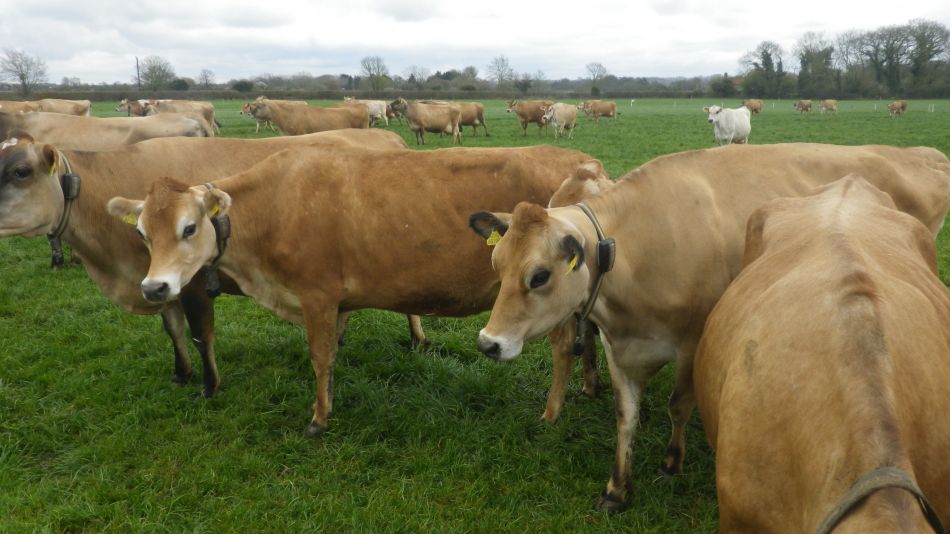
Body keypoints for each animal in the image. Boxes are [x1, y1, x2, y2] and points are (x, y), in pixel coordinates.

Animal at [0, 129, 408, 399]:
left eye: (20, 171)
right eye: (141, 233)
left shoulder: (192, 282)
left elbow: (199, 333)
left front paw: (211, 386)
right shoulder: (156, 281)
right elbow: (173, 329)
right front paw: (181, 374)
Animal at [106, 145, 608, 437]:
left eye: (189, 228)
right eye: (144, 234)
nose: (155, 286)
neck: (275, 206)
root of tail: (584, 161)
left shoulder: (317, 296)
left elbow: (320, 357)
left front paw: (318, 419)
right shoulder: (335, 303)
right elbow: (333, 352)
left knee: (563, 346)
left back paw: (552, 412)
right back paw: (589, 387)